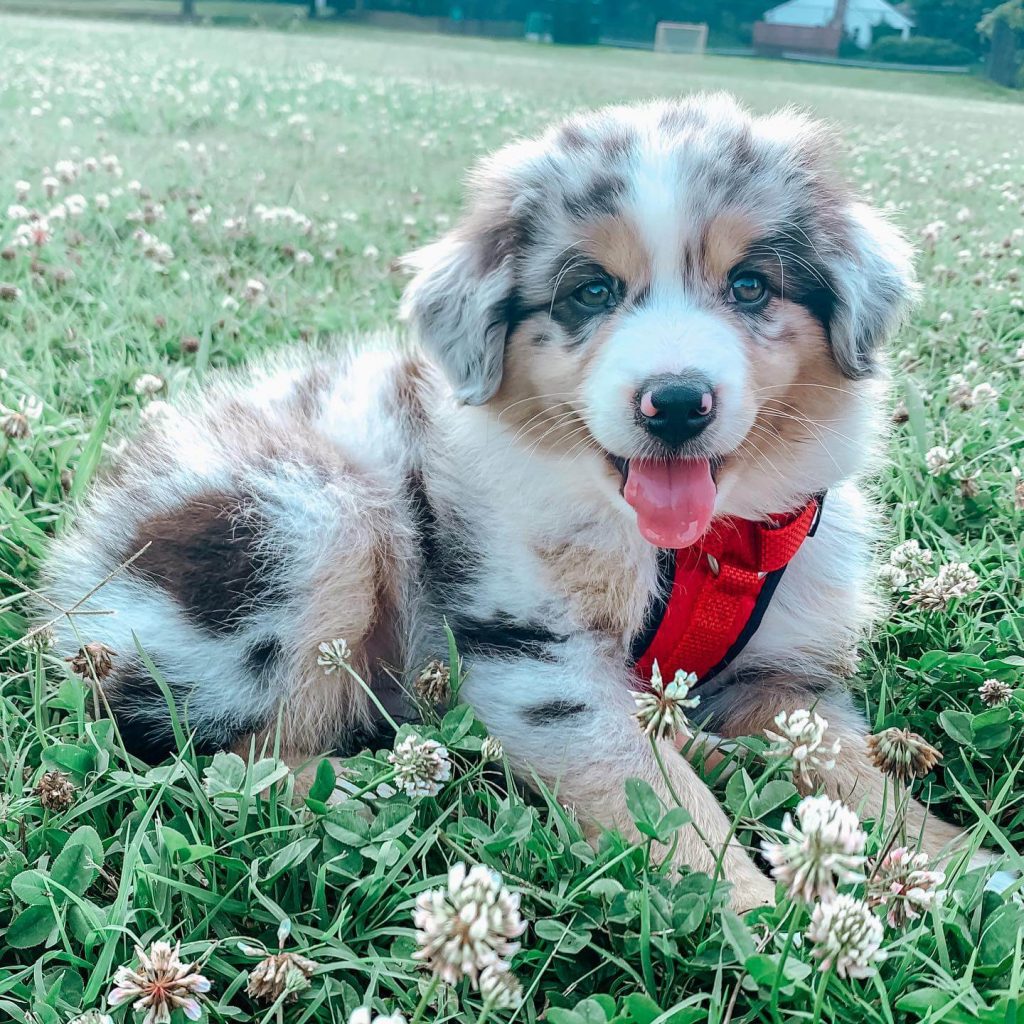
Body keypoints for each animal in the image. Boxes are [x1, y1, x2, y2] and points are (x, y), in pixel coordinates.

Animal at [39, 94, 970, 913]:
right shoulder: (536, 655)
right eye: (591, 292)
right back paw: (374, 788)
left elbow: (856, 771)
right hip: (317, 520)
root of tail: (79, 575)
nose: (674, 402)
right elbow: (652, 794)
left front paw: (953, 862)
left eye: (749, 286)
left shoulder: (782, 675)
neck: (691, 546)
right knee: (225, 755)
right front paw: (747, 912)